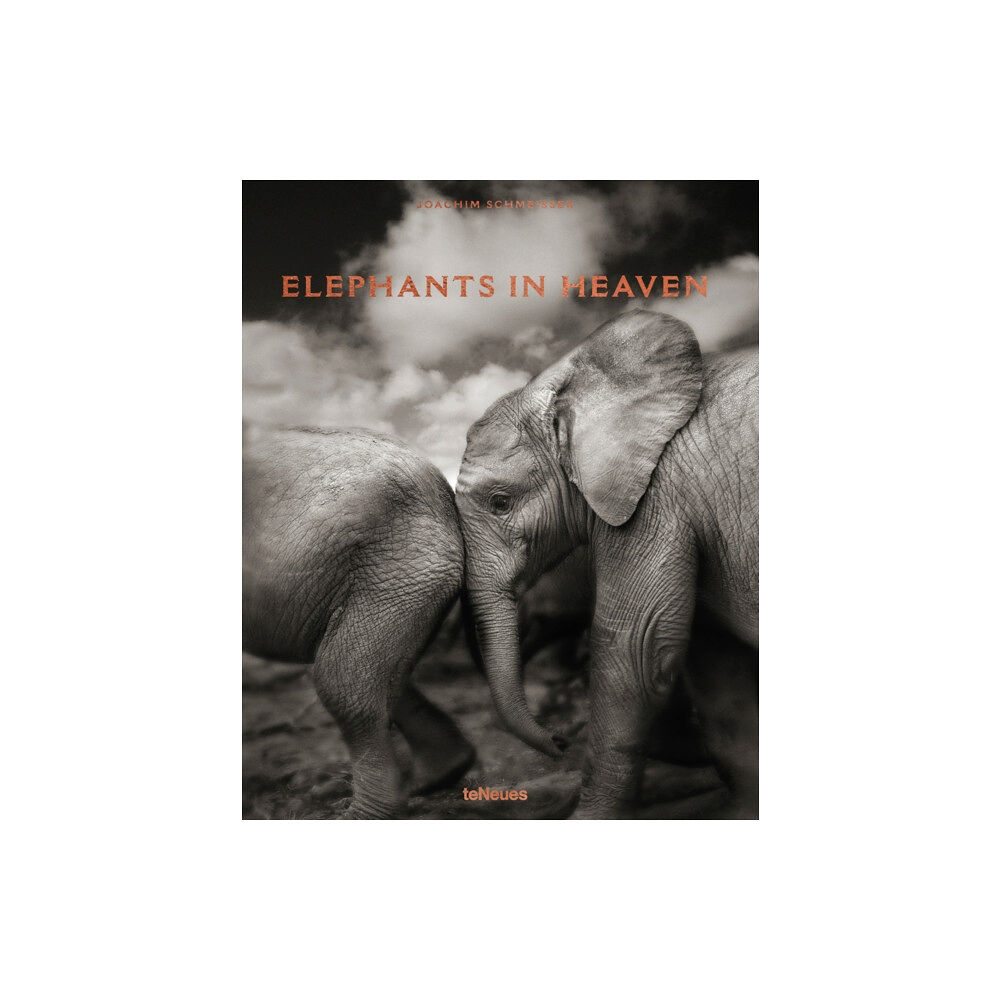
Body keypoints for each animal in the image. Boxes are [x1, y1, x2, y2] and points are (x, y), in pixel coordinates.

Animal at [455, 309, 758, 818]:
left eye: (500, 503)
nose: (558, 740)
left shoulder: (653, 496)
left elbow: (637, 650)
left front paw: (588, 817)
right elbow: (718, 668)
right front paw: (740, 815)